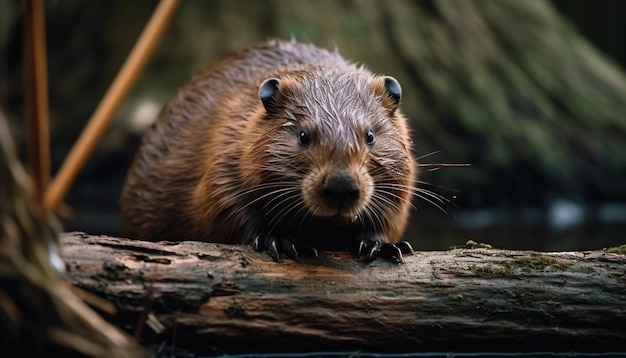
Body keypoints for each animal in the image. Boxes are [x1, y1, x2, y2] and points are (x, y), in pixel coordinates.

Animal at [120, 39, 416, 262]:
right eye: (303, 135)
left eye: (370, 135)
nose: (341, 187)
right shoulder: (229, 141)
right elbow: (221, 203)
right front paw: (280, 241)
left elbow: (391, 213)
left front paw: (382, 245)